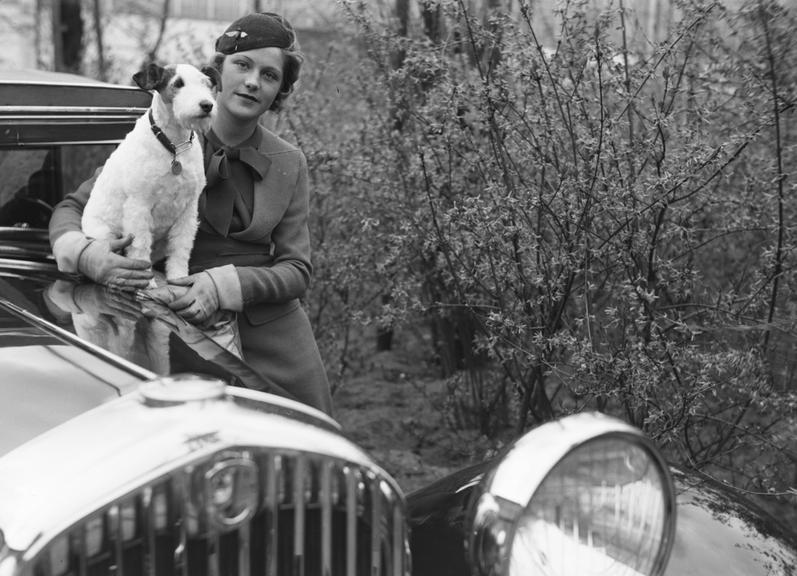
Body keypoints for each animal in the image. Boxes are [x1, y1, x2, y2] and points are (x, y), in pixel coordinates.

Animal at [81, 62, 219, 284]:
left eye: (206, 83)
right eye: (178, 83)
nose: (207, 105)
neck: (174, 146)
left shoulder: (188, 209)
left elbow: (180, 248)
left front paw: (178, 278)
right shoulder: (139, 206)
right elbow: (140, 247)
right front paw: (147, 283)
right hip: (105, 234)